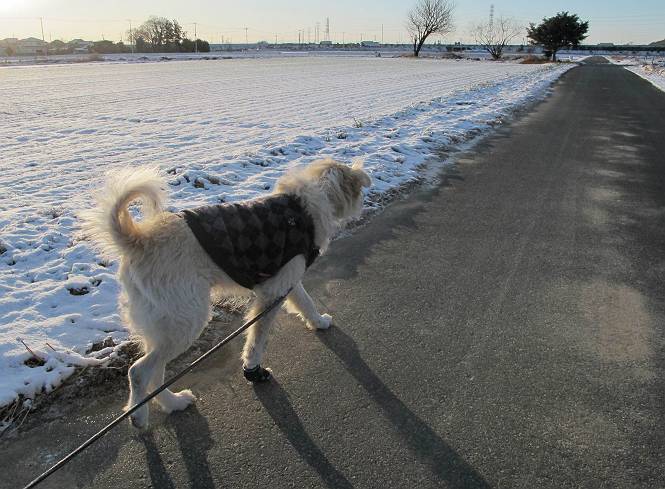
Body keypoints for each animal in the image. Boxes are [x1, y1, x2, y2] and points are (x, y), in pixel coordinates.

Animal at [82, 158, 371, 428]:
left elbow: (306, 302)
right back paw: (139, 416)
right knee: (139, 372)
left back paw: (173, 403)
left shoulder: (285, 280)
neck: (302, 208)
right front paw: (253, 370)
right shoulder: (271, 294)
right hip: (184, 321)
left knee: (155, 373)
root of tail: (138, 240)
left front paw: (319, 322)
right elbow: (257, 339)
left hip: (163, 325)